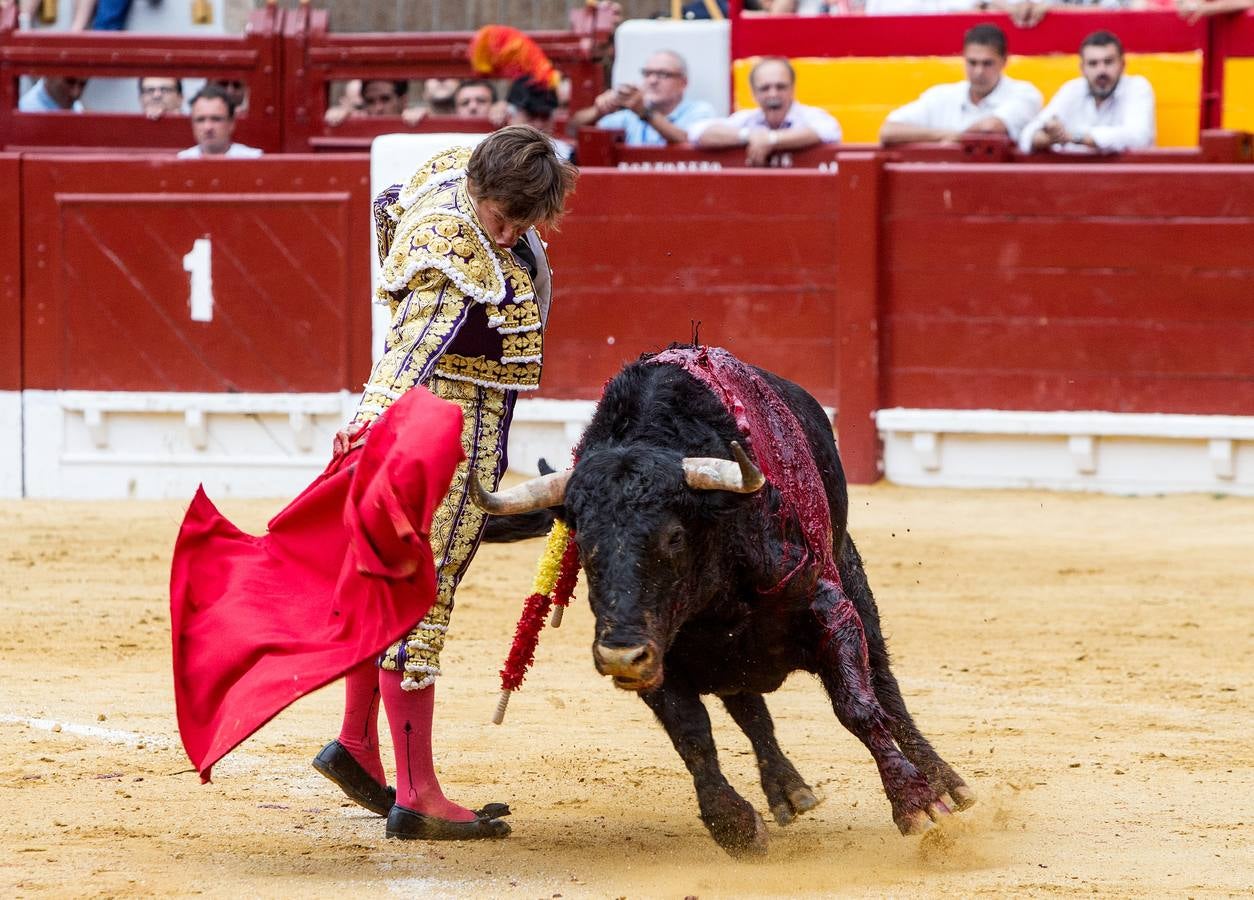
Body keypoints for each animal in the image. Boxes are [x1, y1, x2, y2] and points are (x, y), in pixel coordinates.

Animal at [474, 353, 973, 862]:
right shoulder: (657, 656)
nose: (619, 656)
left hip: (853, 578)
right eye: (581, 539)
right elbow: (692, 735)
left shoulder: (832, 612)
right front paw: (734, 826)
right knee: (750, 710)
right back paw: (789, 790)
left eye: (674, 536)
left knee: (885, 688)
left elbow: (858, 706)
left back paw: (947, 785)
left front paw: (918, 804)